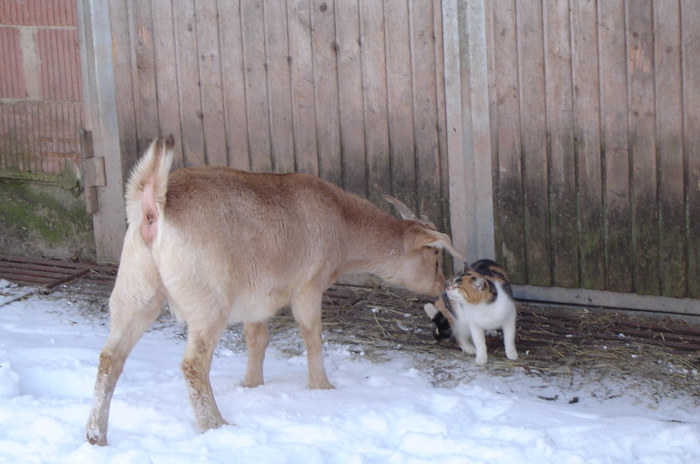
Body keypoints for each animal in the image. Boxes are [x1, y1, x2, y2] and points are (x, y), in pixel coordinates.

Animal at [86, 136, 460, 444]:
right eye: (435, 256)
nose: (441, 286)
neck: (340, 222)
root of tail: (153, 205)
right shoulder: (308, 285)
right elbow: (312, 333)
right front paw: (323, 387)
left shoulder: (256, 296)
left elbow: (257, 337)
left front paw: (251, 385)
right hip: (208, 302)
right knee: (193, 364)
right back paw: (215, 425)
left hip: (135, 288)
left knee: (110, 356)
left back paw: (96, 434)